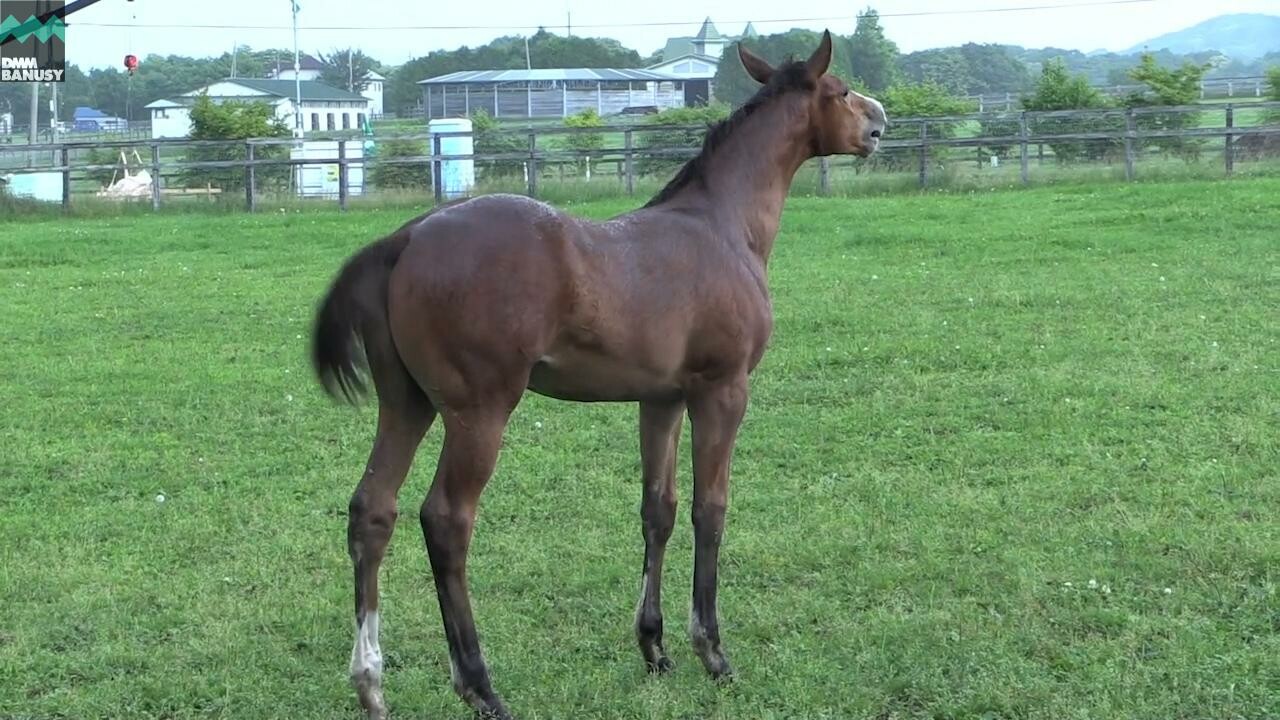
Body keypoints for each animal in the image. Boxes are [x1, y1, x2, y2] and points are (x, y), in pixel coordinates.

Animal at [314, 33, 885, 717]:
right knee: (446, 520)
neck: (720, 225)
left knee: (373, 509)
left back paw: (370, 683)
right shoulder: (723, 391)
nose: (879, 123)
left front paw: (654, 648)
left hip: (407, 404)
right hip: (479, 411)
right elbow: (710, 507)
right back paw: (479, 685)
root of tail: (405, 238)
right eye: (841, 91)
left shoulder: (662, 400)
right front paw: (712, 652)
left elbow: (658, 508)